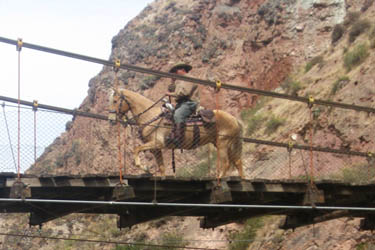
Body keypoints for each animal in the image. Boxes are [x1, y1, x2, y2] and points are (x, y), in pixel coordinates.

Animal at [109, 88, 244, 178]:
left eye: (115, 101)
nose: (111, 119)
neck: (151, 116)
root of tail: (234, 119)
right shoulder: (156, 149)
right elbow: (162, 168)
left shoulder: (158, 143)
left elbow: (136, 149)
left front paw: (146, 168)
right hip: (225, 144)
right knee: (237, 162)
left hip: (223, 144)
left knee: (226, 163)